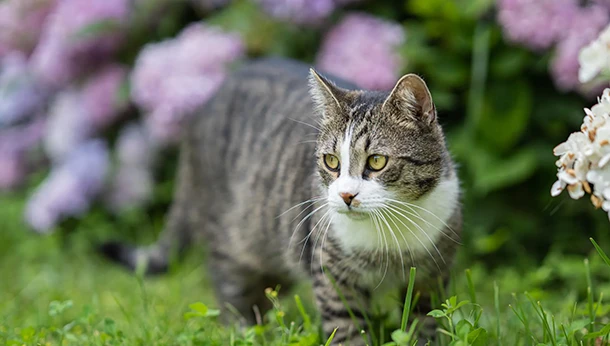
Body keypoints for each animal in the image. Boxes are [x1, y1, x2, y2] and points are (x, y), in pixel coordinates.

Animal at [102, 56, 458, 344]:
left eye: (377, 161)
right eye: (331, 161)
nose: (345, 195)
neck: (389, 237)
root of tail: (201, 112)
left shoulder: (433, 276)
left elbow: (426, 322)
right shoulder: (331, 274)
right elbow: (346, 328)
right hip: (233, 238)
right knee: (232, 291)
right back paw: (246, 332)